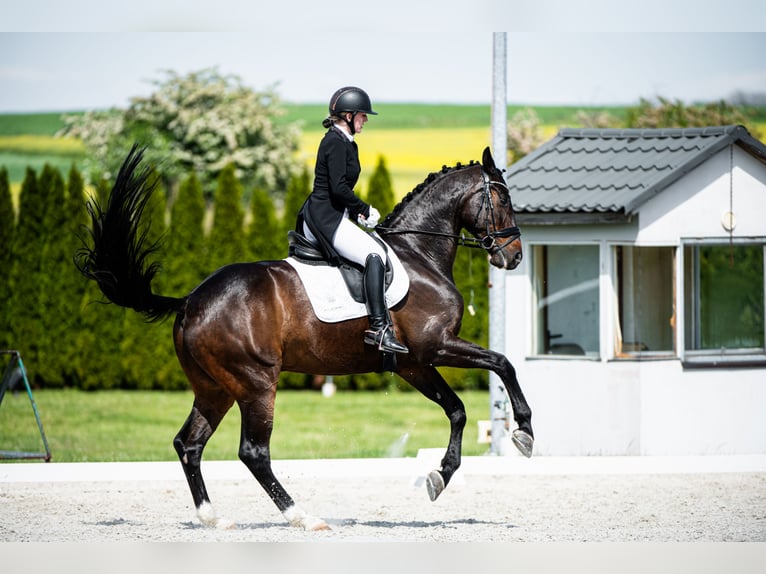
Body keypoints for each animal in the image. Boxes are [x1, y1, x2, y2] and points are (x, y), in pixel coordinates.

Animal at [76, 144, 536, 532]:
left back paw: (213, 518)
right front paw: (524, 432)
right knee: (253, 452)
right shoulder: (435, 346)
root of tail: (190, 300)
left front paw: (439, 476)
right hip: (256, 383)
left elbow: (457, 410)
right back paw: (303, 517)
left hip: (214, 388)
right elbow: (503, 363)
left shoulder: (413, 363)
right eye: (503, 199)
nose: (513, 256)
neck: (419, 255)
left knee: (189, 444)